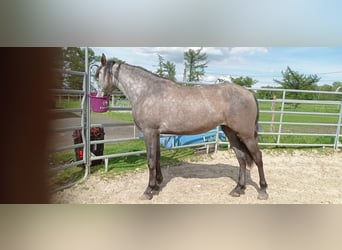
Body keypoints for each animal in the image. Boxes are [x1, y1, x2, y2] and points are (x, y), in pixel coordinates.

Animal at [95, 53, 268, 200]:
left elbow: (150, 161)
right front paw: (157, 185)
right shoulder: (157, 133)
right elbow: (157, 159)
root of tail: (250, 93)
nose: (99, 96)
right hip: (230, 132)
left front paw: (148, 190)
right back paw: (238, 189)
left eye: (97, 76)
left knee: (258, 157)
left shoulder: (149, 132)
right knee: (242, 158)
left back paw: (263, 191)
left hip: (246, 135)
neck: (146, 91)